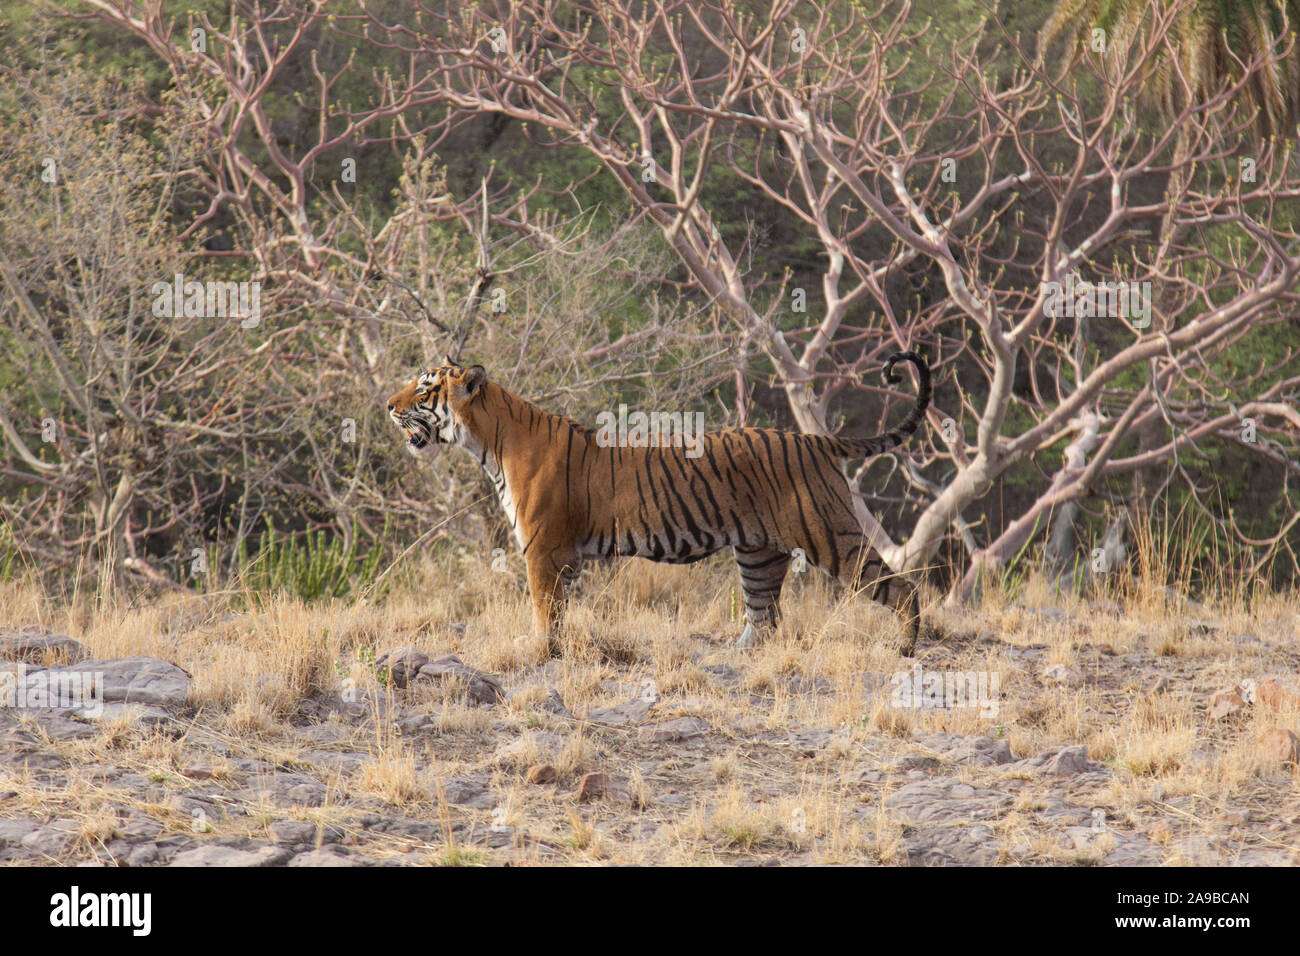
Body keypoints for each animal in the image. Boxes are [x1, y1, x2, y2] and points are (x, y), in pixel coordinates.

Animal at [387, 356, 935, 655]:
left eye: (424, 386)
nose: (389, 406)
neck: (487, 443)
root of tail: (817, 440)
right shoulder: (565, 556)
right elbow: (559, 609)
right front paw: (552, 647)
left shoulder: (543, 550)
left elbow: (545, 609)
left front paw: (539, 650)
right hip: (759, 554)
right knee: (765, 619)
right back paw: (734, 656)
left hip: (830, 535)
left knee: (901, 587)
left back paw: (904, 647)